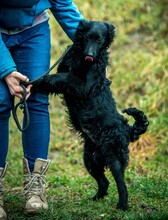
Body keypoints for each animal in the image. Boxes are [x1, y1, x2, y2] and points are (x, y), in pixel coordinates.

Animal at [32, 20, 149, 210]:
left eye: (99, 40)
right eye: (87, 37)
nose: (90, 56)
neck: (82, 60)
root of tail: (128, 129)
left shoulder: (81, 85)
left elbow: (62, 76)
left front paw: (38, 80)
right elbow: (55, 78)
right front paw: (32, 84)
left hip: (114, 158)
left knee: (121, 184)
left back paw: (122, 206)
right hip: (90, 159)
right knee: (104, 182)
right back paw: (96, 197)